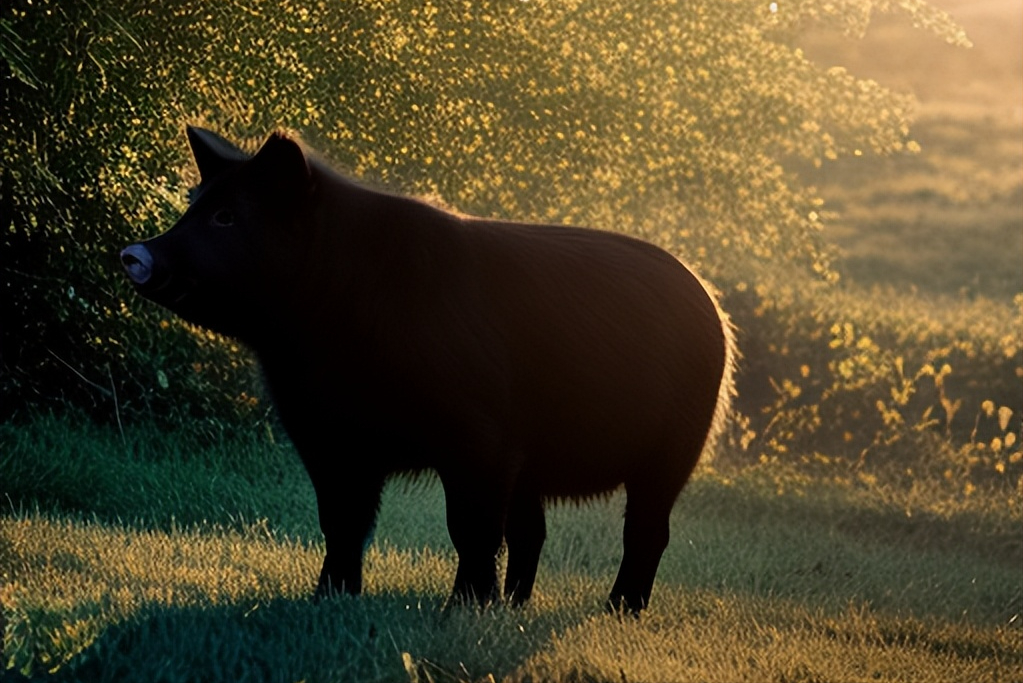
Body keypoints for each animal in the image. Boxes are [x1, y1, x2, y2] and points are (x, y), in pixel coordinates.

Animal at [121, 127, 736, 613]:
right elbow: (341, 521)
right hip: (538, 466)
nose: (135, 252)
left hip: (675, 448)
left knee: (646, 531)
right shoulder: (325, 438)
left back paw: (617, 611)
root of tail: (714, 309)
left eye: (227, 217)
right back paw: (516, 607)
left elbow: (469, 527)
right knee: (533, 532)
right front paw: (327, 600)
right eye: (193, 205)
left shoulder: (478, 436)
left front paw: (460, 610)